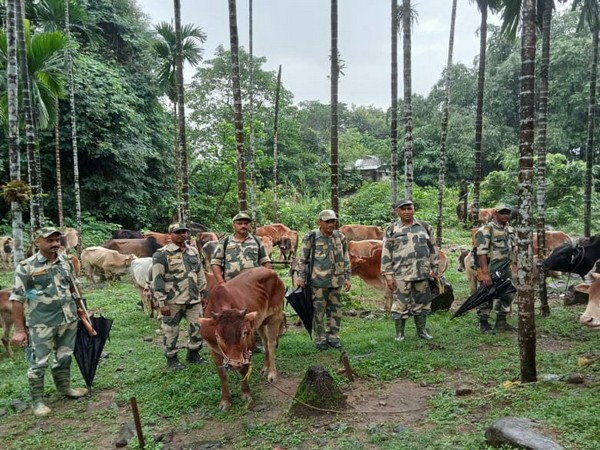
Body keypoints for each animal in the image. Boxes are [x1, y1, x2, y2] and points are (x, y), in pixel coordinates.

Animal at [198, 268, 284, 412]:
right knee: (265, 341)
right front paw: (225, 401)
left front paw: (246, 394)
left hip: (275, 315)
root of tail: (272, 271)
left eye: (244, 333)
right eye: (217, 336)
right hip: (260, 322)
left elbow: (244, 369)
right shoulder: (213, 350)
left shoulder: (248, 345)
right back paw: (265, 368)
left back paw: (272, 373)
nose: (235, 363)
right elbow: (222, 375)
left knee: (271, 344)